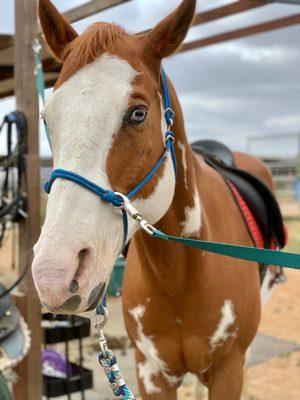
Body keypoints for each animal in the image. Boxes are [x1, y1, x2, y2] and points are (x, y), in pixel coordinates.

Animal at [33, 1, 284, 398]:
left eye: (138, 113)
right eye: (48, 118)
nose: (54, 276)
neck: (180, 275)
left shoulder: (229, 371)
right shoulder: (151, 372)